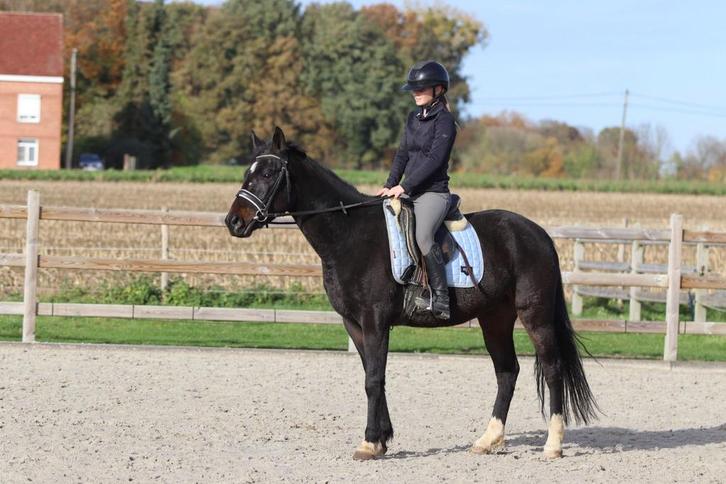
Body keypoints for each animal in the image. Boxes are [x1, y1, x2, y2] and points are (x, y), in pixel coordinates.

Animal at [225, 127, 598, 460]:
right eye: (247, 173)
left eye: (269, 172)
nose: (234, 222)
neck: (349, 235)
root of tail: (538, 233)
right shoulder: (354, 324)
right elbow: (372, 376)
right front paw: (382, 439)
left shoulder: (375, 321)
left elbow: (373, 379)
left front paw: (370, 444)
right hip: (495, 318)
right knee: (507, 372)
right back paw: (487, 440)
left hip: (535, 315)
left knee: (552, 369)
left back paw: (552, 446)